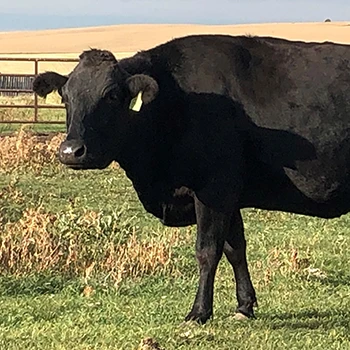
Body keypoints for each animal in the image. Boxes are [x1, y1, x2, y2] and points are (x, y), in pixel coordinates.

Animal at [34, 34, 350, 324]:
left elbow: (207, 251)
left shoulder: (213, 190)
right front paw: (244, 306)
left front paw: (199, 312)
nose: (71, 151)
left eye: (111, 95)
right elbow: (235, 249)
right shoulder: (228, 196)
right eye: (65, 97)